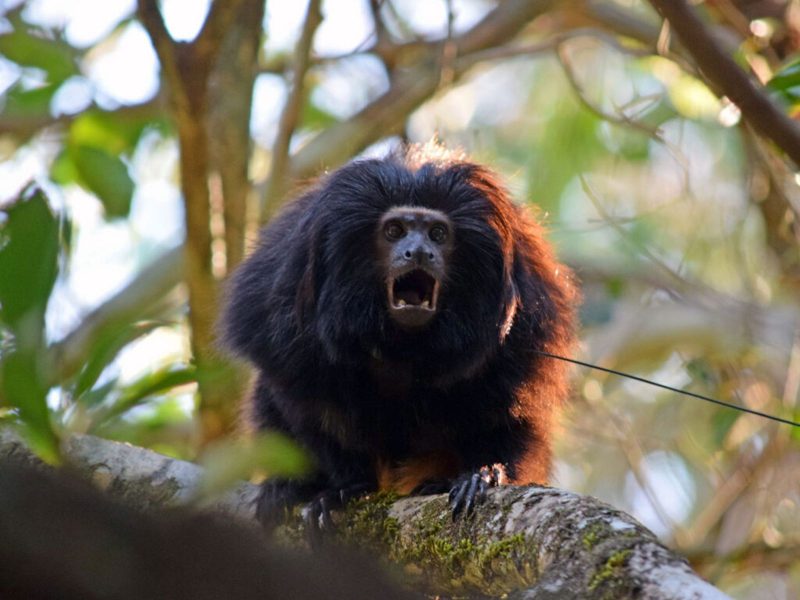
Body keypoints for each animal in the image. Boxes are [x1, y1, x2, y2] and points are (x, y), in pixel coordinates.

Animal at [222, 144, 580, 528]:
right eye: (394, 230)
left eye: (438, 234)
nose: (419, 251)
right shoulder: (282, 318)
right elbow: (310, 407)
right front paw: (345, 487)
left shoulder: (527, 323)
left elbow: (510, 412)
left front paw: (484, 473)